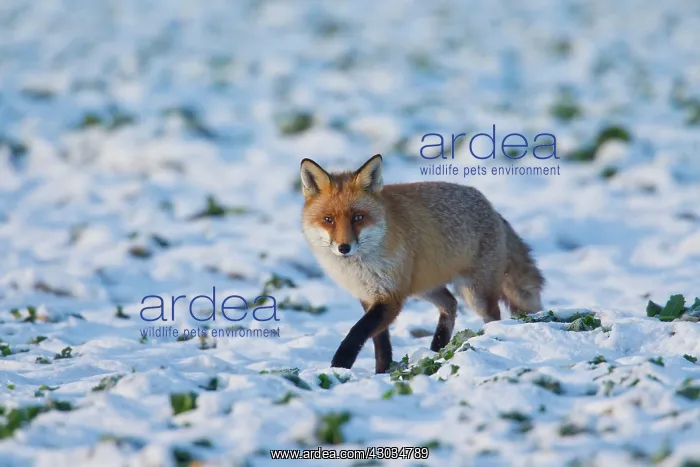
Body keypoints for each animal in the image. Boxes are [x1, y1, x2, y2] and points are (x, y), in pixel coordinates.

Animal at [300, 154, 545, 374]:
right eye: (328, 220)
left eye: (358, 218)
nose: (344, 247)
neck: (361, 269)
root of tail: (492, 208)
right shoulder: (369, 296)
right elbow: (380, 342)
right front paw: (382, 371)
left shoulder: (390, 296)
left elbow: (357, 333)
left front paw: (338, 368)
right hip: (424, 286)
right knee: (451, 304)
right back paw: (438, 347)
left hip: (476, 294)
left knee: (491, 316)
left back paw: (485, 339)